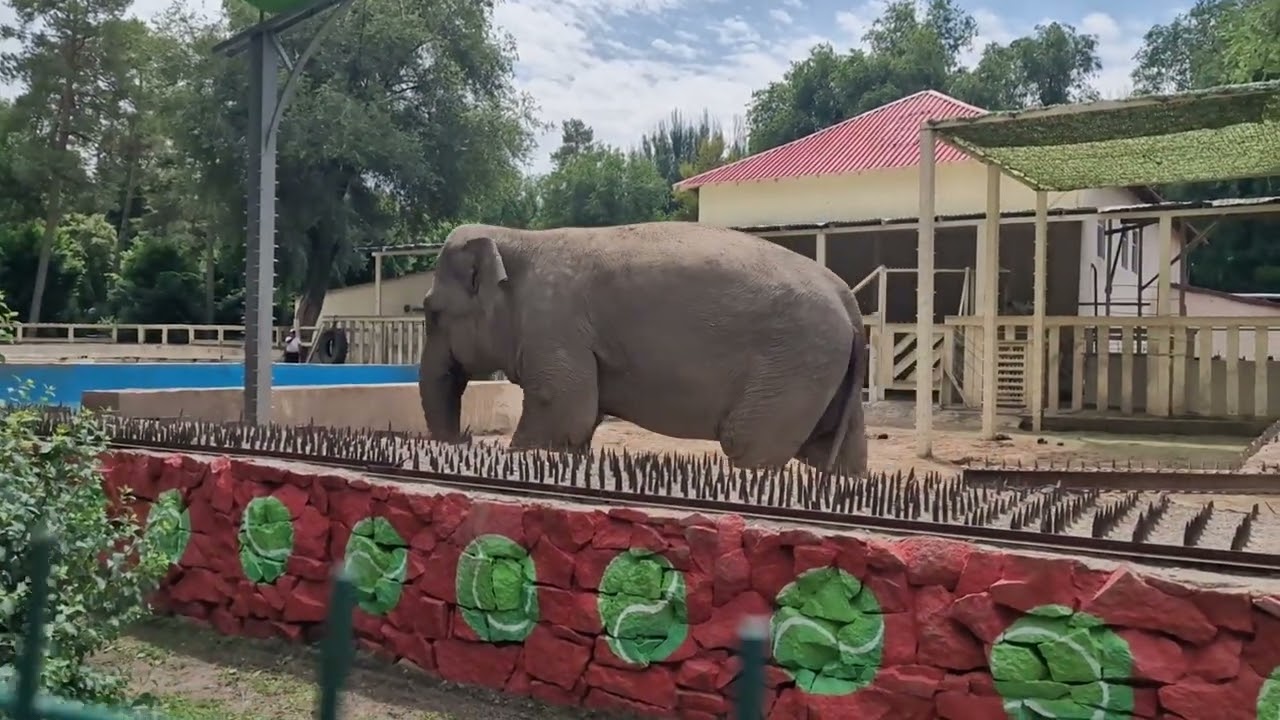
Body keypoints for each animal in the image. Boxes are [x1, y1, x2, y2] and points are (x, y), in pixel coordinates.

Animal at [417, 221, 868, 476]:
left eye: (432, 311)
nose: (463, 440)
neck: (519, 239)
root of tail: (846, 296)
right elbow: (579, 423)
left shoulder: (555, 325)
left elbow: (562, 411)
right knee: (838, 455)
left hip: (792, 369)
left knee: (749, 445)